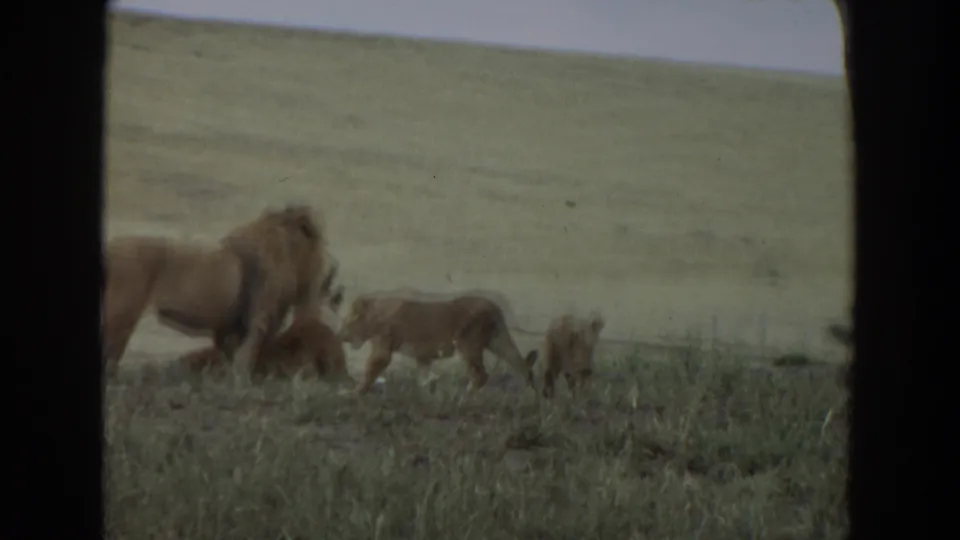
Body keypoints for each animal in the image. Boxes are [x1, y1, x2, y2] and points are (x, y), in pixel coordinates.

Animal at [102, 204, 335, 379]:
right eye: (318, 238)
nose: (327, 265)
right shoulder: (260, 321)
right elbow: (244, 363)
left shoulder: (229, 329)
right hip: (121, 317)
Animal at [338, 291, 539, 395]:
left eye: (346, 322)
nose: (340, 335)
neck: (374, 316)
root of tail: (495, 307)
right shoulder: (423, 356)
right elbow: (423, 377)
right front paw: (426, 393)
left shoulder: (382, 350)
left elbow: (370, 371)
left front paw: (355, 391)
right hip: (497, 340)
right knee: (519, 361)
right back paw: (530, 390)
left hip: (468, 343)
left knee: (480, 374)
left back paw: (466, 395)